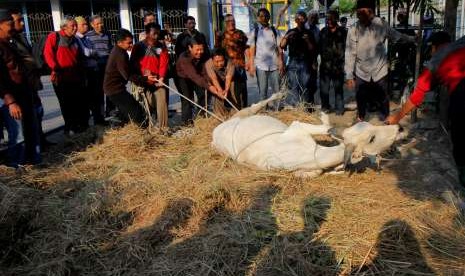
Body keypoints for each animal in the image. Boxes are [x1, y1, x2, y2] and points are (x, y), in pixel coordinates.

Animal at [212, 92, 396, 178]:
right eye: (372, 138)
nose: (396, 128)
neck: (313, 154)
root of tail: (215, 134)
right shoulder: (297, 127)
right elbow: (326, 126)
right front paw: (323, 115)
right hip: (242, 114)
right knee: (256, 105)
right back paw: (280, 94)